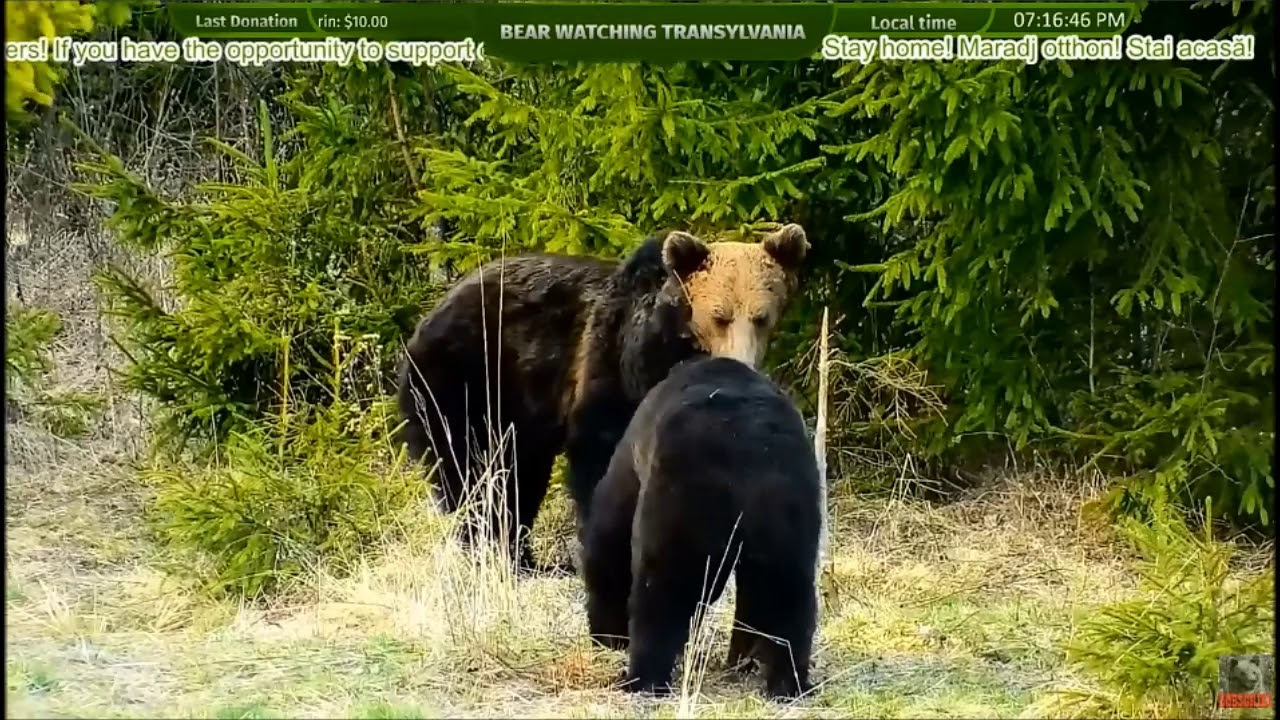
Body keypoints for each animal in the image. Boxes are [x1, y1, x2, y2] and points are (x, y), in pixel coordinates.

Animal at [396, 224, 810, 572]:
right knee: (476, 473)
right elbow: (600, 452)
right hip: (470, 381)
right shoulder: (615, 365)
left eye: (760, 316)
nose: (742, 363)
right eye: (720, 316)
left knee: (518, 475)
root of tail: (425, 320)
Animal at [580, 355, 822, 699]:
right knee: (788, 592)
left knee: (662, 587)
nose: (601, 639)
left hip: (681, 496)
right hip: (788, 505)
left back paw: (642, 679)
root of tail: (744, 449)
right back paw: (788, 683)